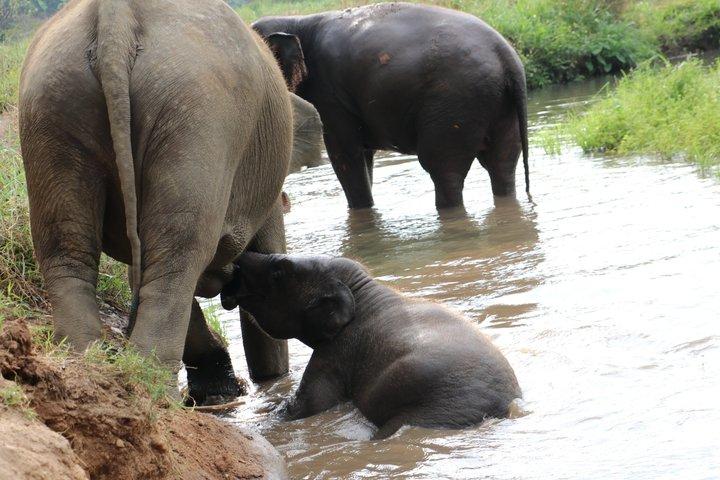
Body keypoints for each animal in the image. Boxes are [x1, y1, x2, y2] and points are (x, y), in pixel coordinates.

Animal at [18, 0, 318, 403]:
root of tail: (114, 21)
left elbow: (137, 272)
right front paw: (267, 380)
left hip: (53, 107)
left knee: (69, 248)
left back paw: (88, 370)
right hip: (196, 115)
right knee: (178, 254)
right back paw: (154, 388)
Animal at [221, 253, 522, 439]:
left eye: (278, 271)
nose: (235, 262)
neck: (362, 289)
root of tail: (502, 408)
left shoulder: (337, 352)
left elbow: (310, 405)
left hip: (436, 410)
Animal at [253, 2, 530, 210]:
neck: (295, 22)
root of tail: (507, 57)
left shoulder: (330, 95)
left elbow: (345, 155)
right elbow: (363, 157)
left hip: (455, 101)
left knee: (442, 168)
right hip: (498, 106)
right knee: (502, 162)